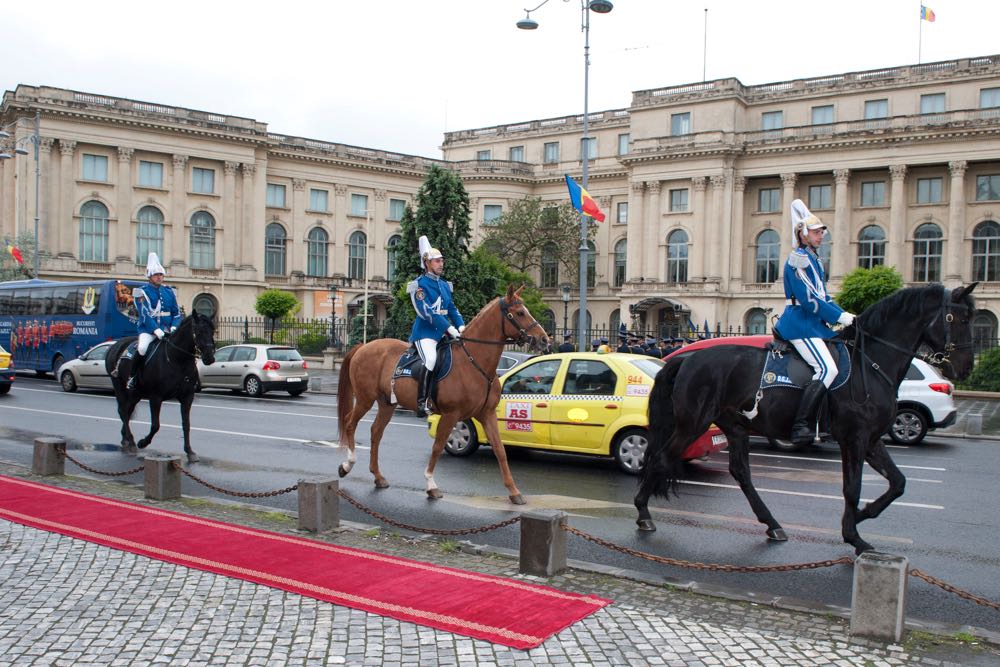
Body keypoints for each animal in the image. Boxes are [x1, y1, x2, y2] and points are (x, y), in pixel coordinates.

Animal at [105, 314, 215, 462]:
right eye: (199, 332)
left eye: (212, 331)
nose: (210, 358)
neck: (178, 361)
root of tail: (115, 345)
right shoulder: (156, 397)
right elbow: (155, 425)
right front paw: (143, 442)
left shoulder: (187, 397)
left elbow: (186, 424)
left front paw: (189, 451)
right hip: (120, 388)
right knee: (123, 411)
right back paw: (132, 442)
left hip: (136, 394)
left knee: (127, 412)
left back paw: (125, 439)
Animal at [336, 284, 548, 504]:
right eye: (520, 312)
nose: (544, 339)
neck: (474, 362)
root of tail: (364, 346)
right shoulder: (450, 415)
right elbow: (437, 447)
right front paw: (431, 485)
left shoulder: (487, 414)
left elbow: (500, 450)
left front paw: (514, 491)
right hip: (365, 399)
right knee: (350, 423)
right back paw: (347, 465)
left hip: (387, 404)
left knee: (376, 432)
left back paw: (378, 476)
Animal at [636, 284, 972, 556]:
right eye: (960, 318)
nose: (965, 367)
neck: (870, 365)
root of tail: (687, 358)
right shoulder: (855, 438)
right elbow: (853, 487)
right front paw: (854, 535)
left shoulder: (872, 439)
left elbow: (898, 482)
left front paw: (863, 515)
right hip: (693, 423)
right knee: (662, 457)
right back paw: (643, 513)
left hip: (735, 426)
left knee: (740, 473)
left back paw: (771, 523)